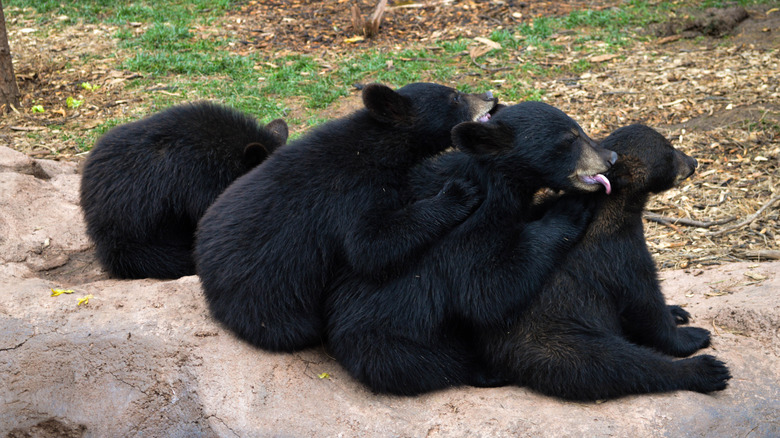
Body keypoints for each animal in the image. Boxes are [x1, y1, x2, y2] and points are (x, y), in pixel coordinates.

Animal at [195, 83, 500, 352]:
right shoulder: (353, 192)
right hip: (268, 296)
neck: (381, 148)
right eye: (455, 97)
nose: (490, 95)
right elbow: (368, 245)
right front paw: (459, 193)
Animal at [322, 101, 616, 396]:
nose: (611, 157)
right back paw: (488, 372)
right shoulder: (470, 227)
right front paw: (569, 209)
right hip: (392, 341)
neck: (497, 184)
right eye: (569, 139)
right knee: (431, 363)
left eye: (580, 129)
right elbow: (485, 289)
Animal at [476, 122, 732, 400]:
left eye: (671, 145)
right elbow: (644, 301)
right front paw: (690, 335)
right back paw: (706, 369)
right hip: (558, 342)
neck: (615, 205)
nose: (693, 162)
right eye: (669, 152)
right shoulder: (618, 252)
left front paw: (678, 311)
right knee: (616, 363)